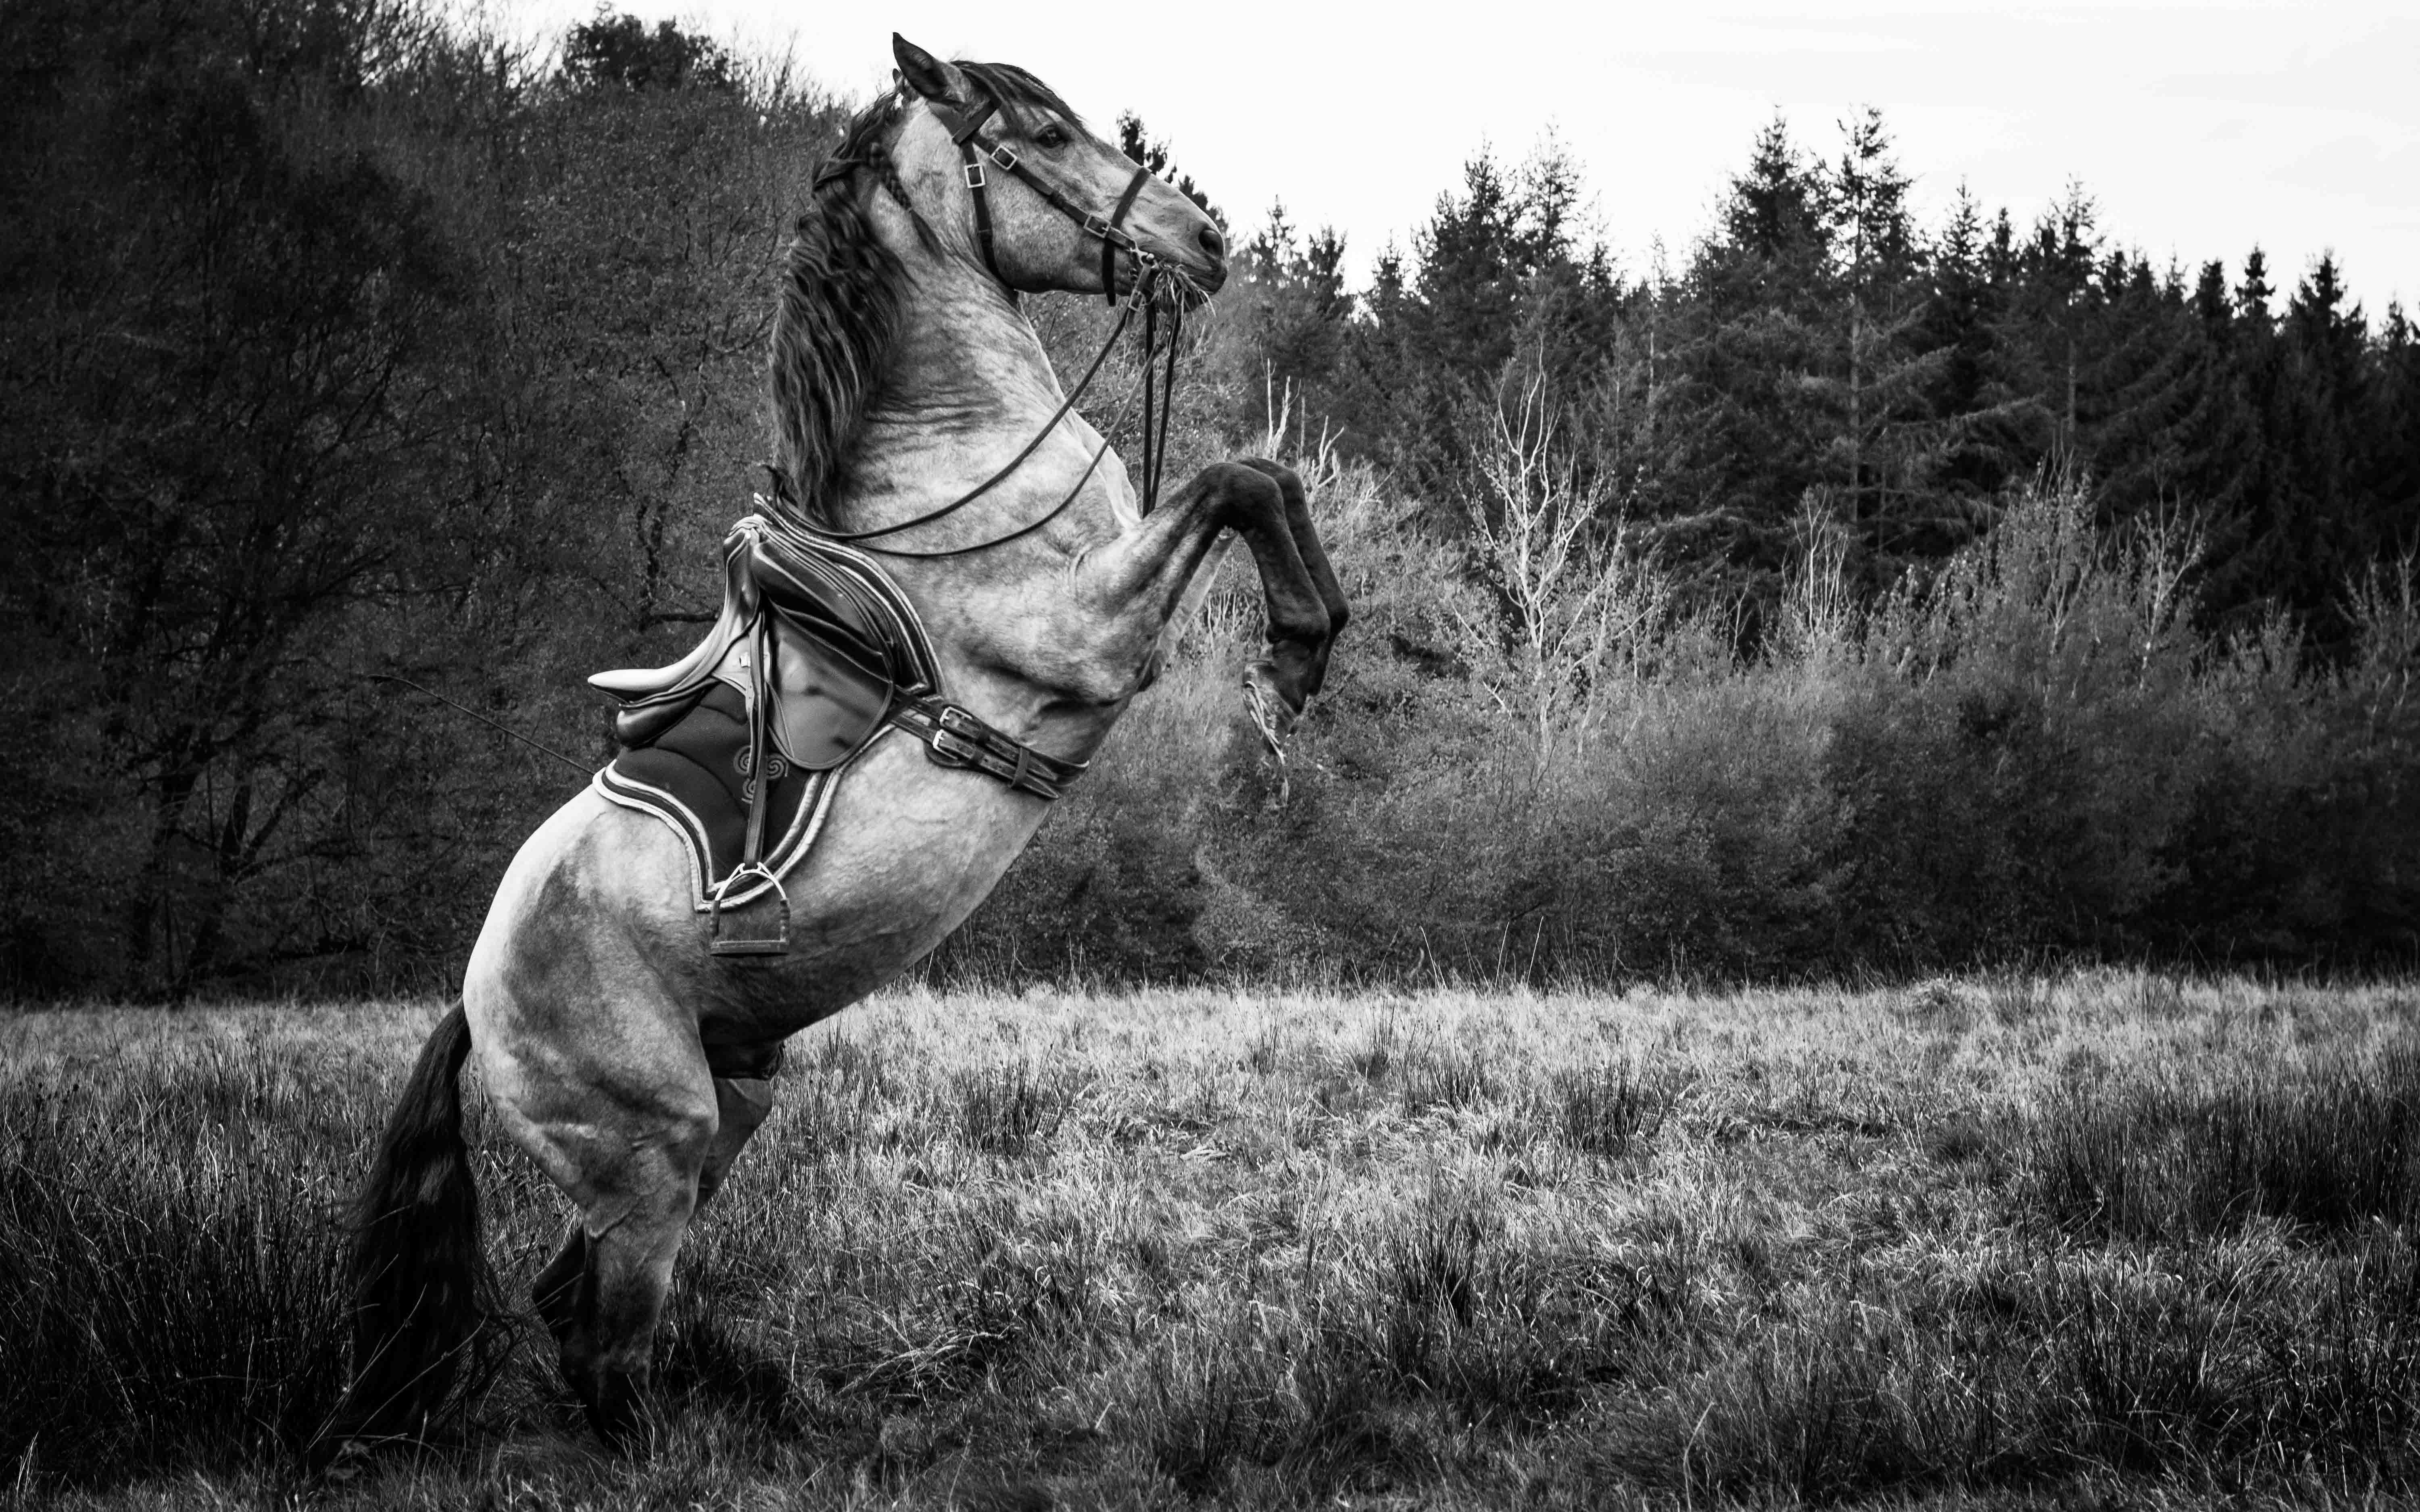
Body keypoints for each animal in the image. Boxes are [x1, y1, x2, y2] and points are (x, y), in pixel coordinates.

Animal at [328, 35, 1346, 1452]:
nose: (1203, 239)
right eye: (1042, 134)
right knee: (602, 1342)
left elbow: (1265, 477)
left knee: (568, 1292)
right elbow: (1240, 477)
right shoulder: (1086, 634)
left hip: (730, 1102)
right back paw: (671, 1441)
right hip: (651, 1147)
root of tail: (476, 1000)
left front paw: (1308, 651)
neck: (947, 461)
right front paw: (1291, 659)